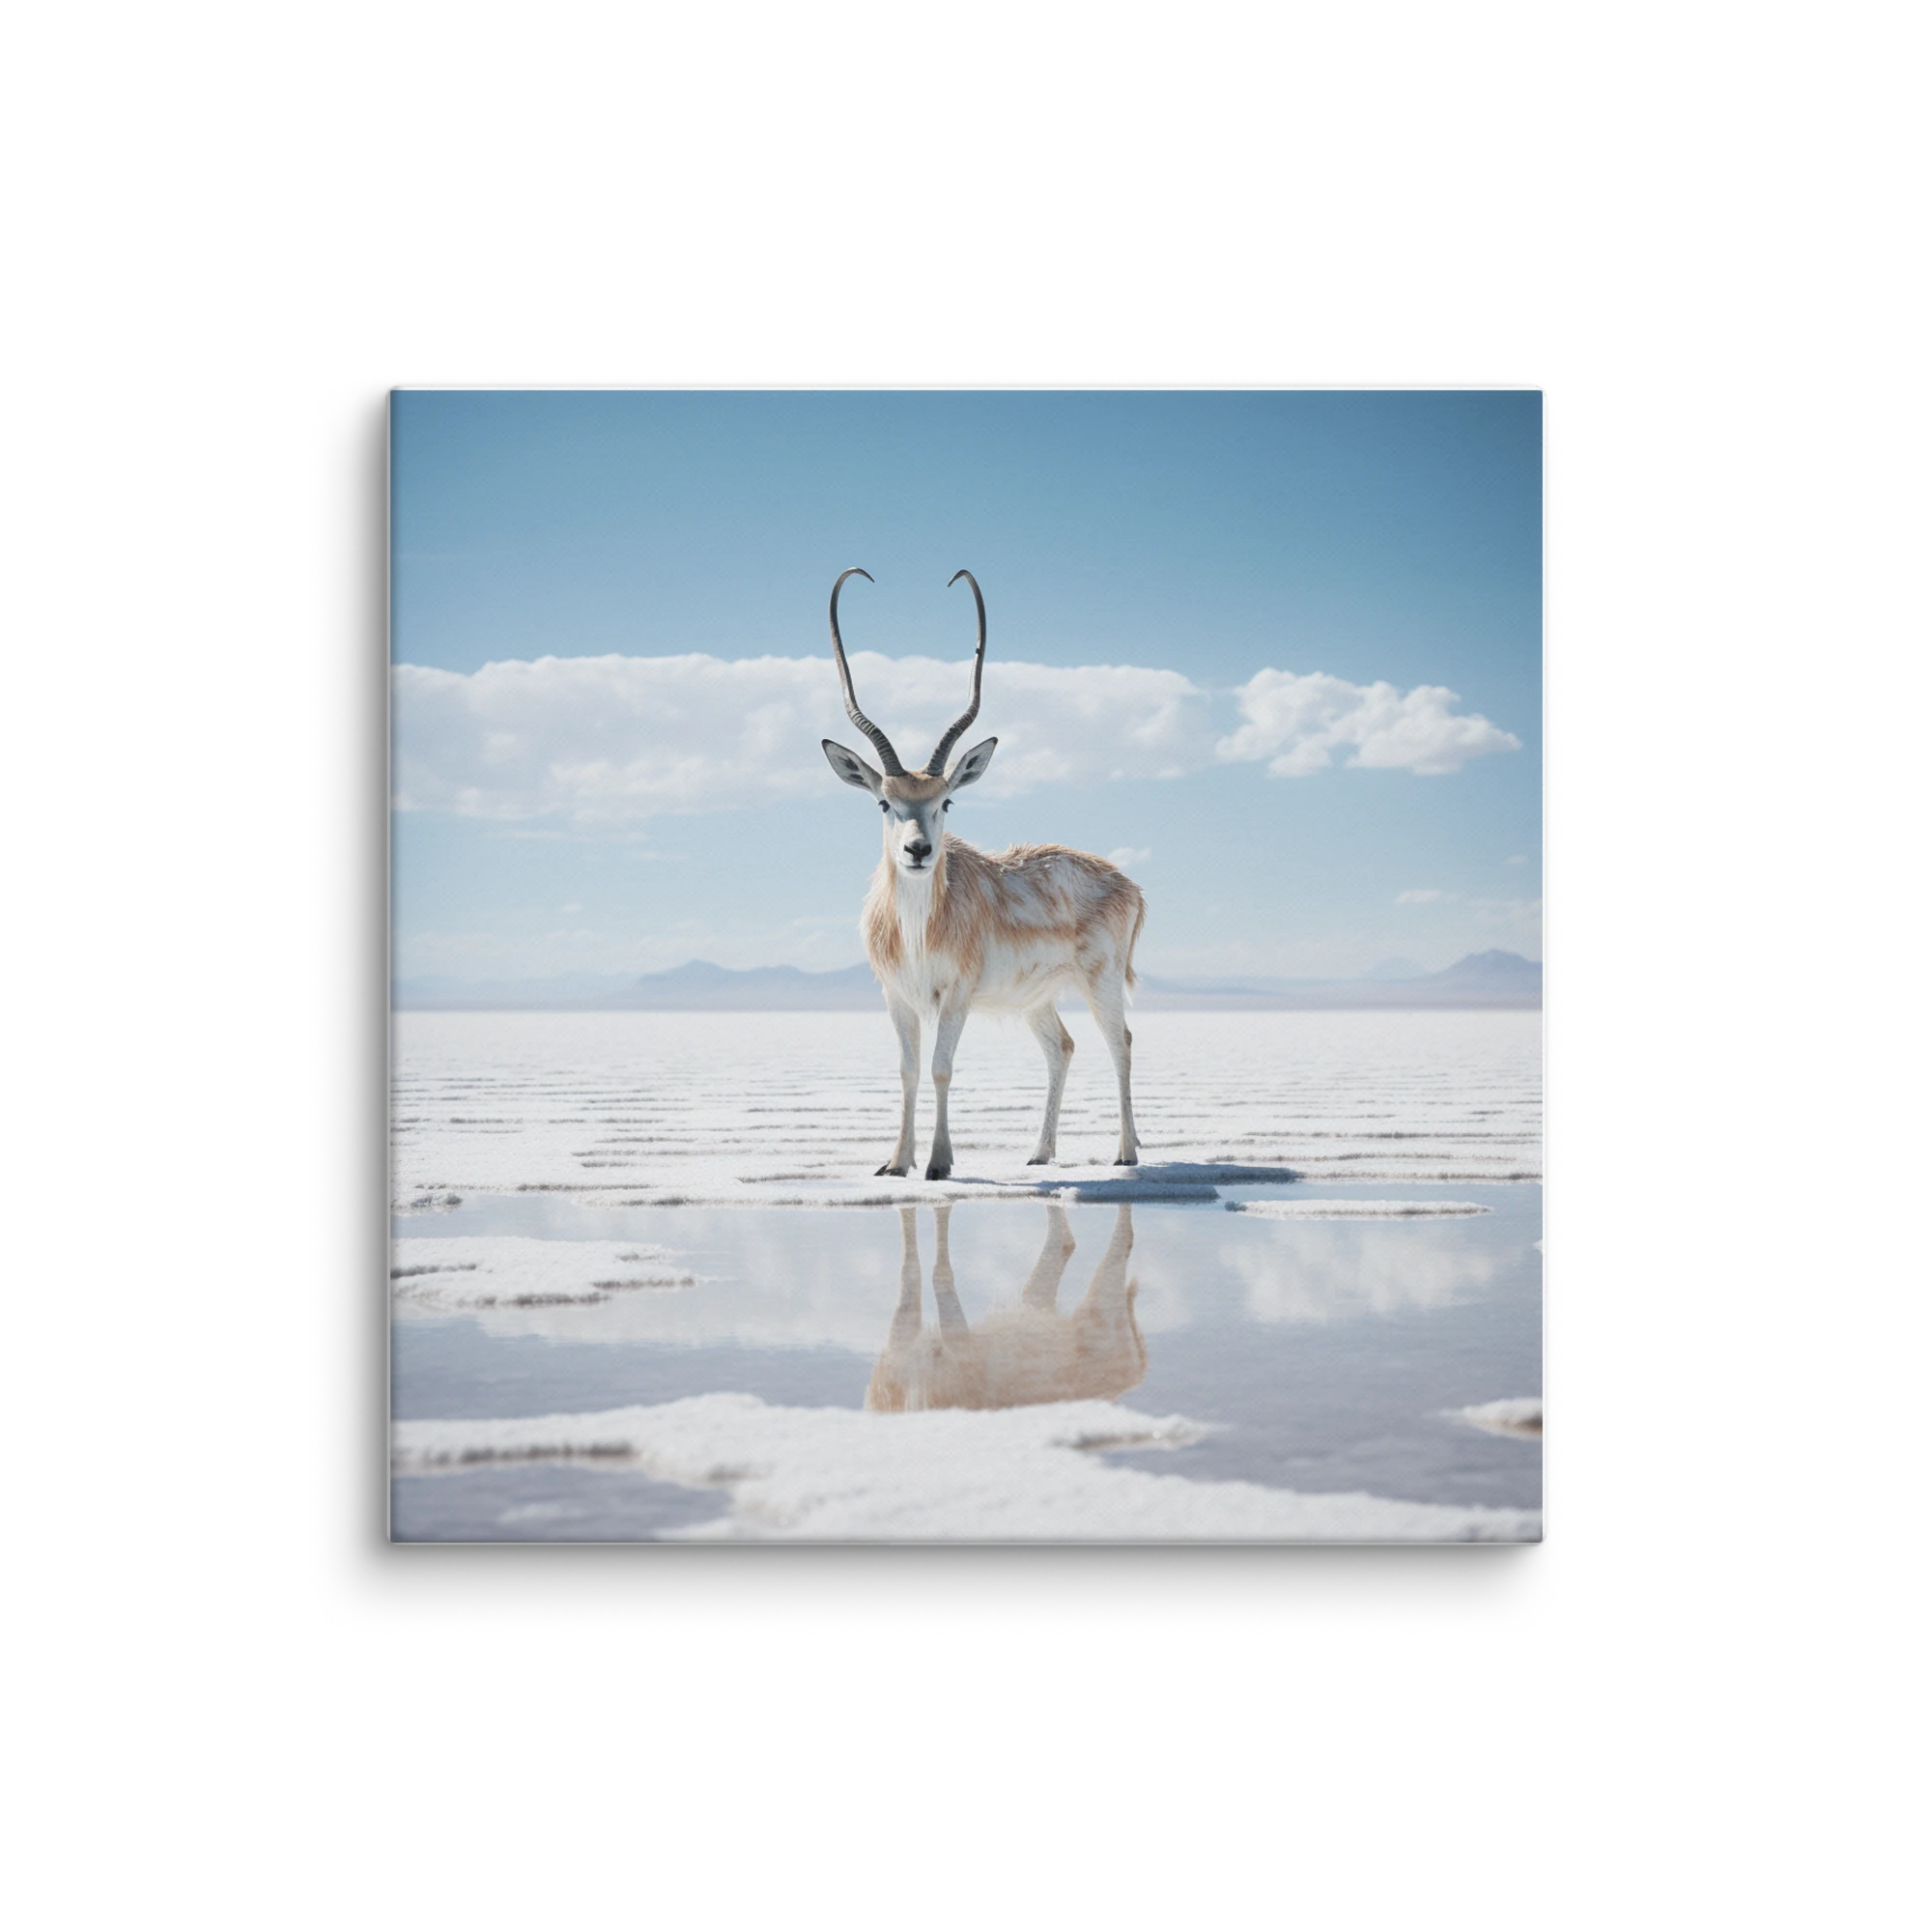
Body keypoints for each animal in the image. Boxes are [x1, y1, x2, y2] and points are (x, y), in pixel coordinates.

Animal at [820, 568, 1145, 1180]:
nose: (919, 850)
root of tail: (1128, 884)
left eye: (946, 801)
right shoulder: (897, 997)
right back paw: (1040, 1153)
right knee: (1063, 1046)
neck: (919, 929)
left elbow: (941, 1068)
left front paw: (939, 1163)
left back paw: (1127, 1152)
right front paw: (895, 1163)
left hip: (1102, 981)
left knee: (1122, 1042)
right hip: (1036, 998)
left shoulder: (956, 995)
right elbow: (907, 1070)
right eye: (884, 802)